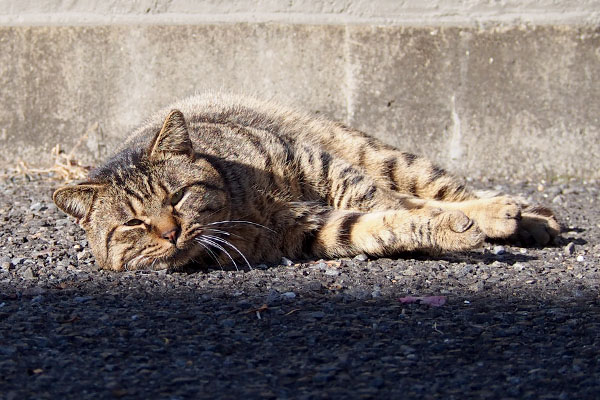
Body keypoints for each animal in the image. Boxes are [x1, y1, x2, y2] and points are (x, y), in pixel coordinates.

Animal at [52, 93, 564, 272]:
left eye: (177, 196)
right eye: (133, 224)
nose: (170, 231)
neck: (243, 212)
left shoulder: (318, 165)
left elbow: (395, 202)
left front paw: (463, 222)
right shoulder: (315, 231)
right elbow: (381, 224)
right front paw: (445, 232)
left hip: (380, 155)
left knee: (444, 190)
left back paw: (520, 214)